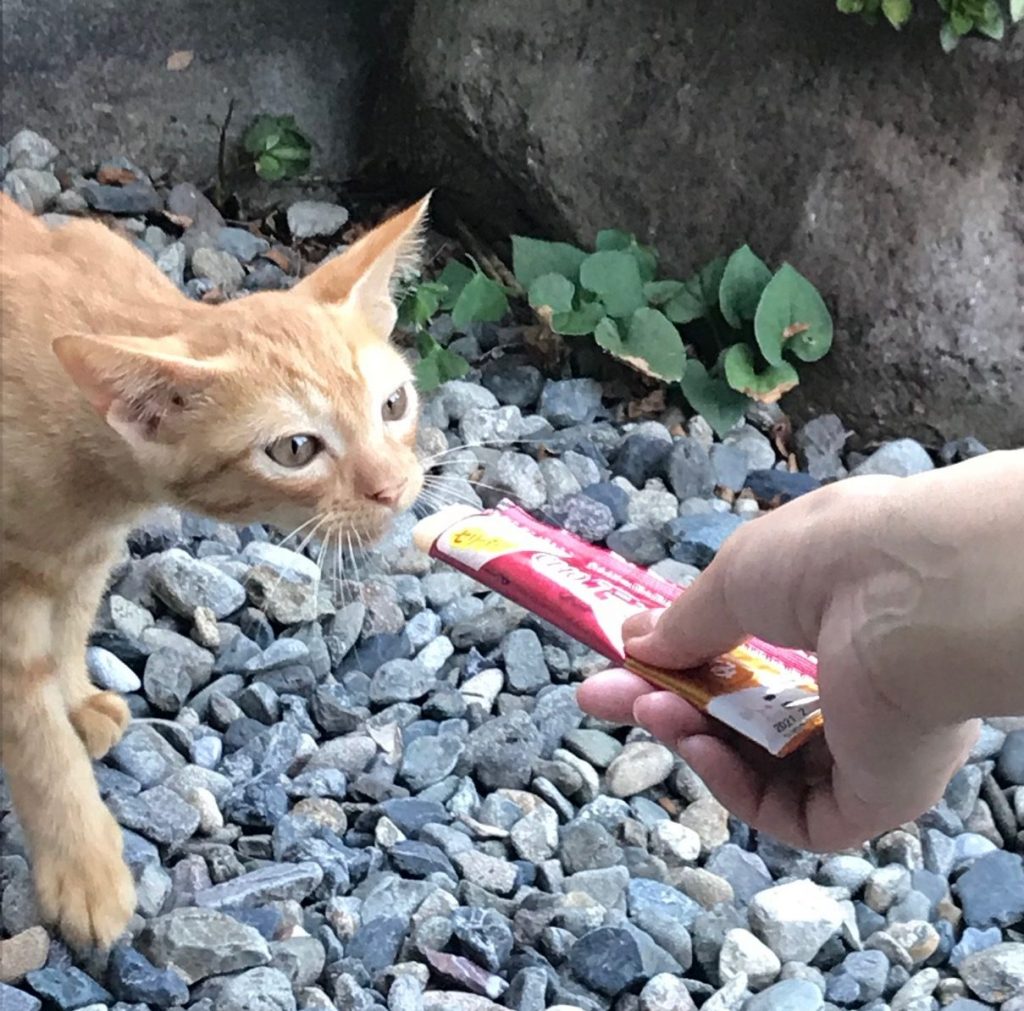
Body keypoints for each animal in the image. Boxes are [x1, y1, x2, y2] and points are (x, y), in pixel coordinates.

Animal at [0, 191, 429, 948]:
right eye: (295, 449)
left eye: (394, 405)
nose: (392, 487)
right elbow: (32, 725)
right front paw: (83, 866)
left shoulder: (88, 546)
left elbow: (72, 618)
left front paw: (75, 699)